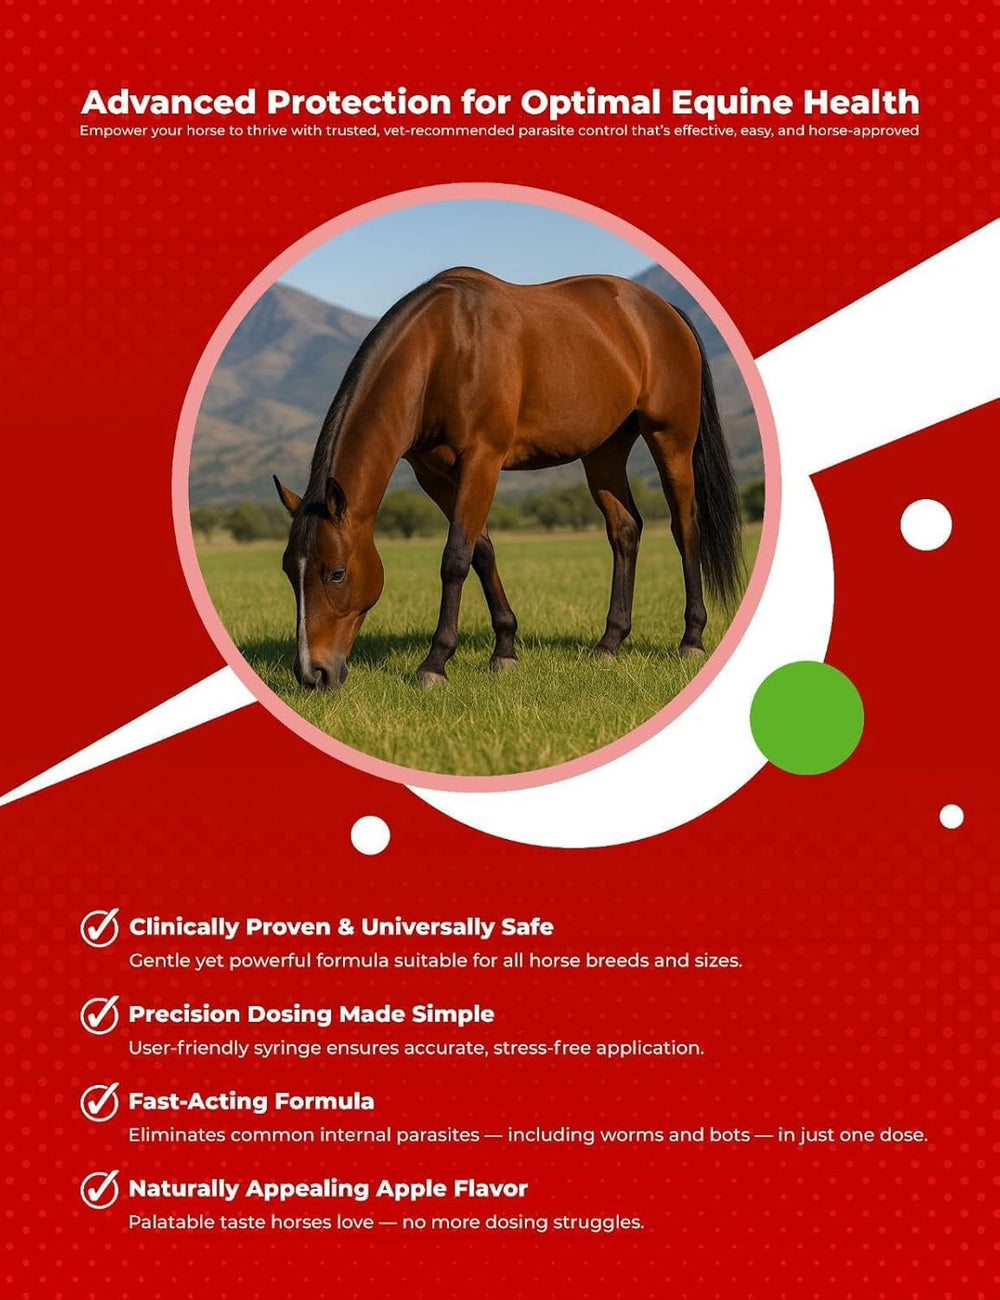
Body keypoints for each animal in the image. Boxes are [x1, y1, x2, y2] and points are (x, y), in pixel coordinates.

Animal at [273, 267, 744, 690]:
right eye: (288, 570)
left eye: (336, 573)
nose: (313, 674)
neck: (442, 349)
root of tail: (664, 310)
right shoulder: (434, 474)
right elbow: (481, 552)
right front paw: (504, 649)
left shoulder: (482, 459)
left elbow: (455, 558)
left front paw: (435, 662)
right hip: (604, 451)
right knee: (625, 529)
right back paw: (609, 643)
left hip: (672, 440)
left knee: (685, 527)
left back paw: (691, 639)